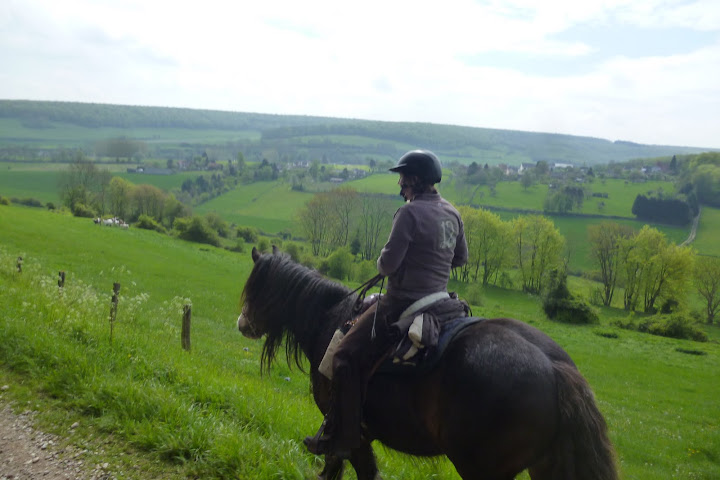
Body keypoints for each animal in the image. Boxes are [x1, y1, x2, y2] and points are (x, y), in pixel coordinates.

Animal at [238, 248, 620, 480]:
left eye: (254, 289)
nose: (242, 324)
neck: (331, 319)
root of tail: (556, 370)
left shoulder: (350, 435)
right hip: (547, 465)